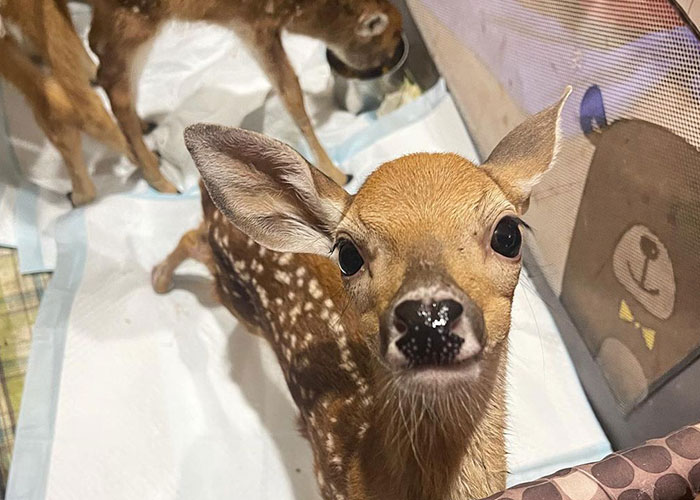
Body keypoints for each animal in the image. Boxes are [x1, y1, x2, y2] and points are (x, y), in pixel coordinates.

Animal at [86, 0, 404, 187]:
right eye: (389, 41)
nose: (390, 61)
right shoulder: (255, 22)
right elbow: (291, 92)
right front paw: (337, 173)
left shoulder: (249, 25)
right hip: (133, 21)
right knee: (114, 86)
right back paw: (162, 182)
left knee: (99, 57)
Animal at [152, 86, 572, 500]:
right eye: (348, 254)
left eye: (508, 233)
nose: (428, 319)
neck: (360, 460)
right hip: (238, 301)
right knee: (194, 243)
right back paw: (159, 280)